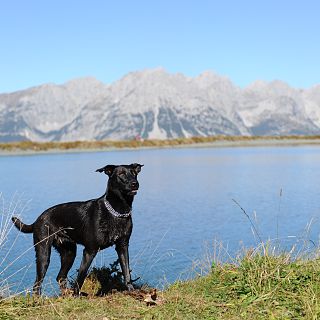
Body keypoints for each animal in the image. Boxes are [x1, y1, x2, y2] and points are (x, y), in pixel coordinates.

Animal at [11, 162, 142, 296]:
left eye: (134, 173)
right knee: (37, 283)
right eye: (121, 174)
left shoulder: (123, 246)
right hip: (44, 253)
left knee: (60, 277)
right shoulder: (90, 250)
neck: (117, 211)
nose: (135, 183)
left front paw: (131, 290)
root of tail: (38, 219)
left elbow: (126, 270)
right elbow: (81, 275)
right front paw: (76, 295)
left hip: (69, 253)